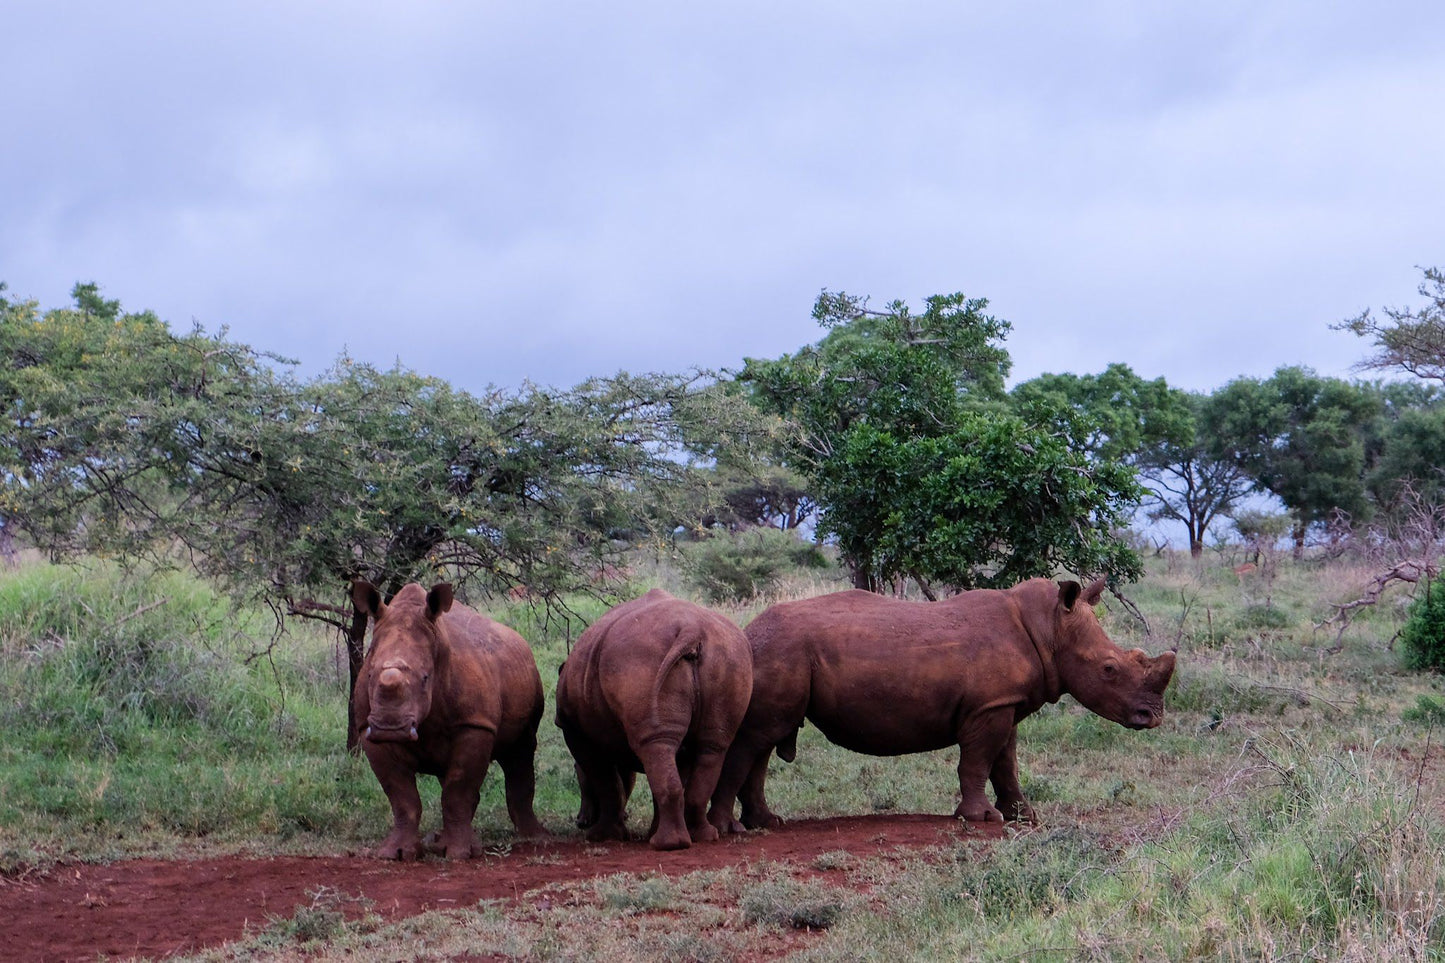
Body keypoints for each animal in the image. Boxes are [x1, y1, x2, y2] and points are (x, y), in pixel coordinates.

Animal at [708, 572, 1173, 827]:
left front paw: (1023, 816)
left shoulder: (1002, 703)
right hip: (780, 651)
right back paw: (730, 828)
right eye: (1109, 669)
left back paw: (766, 823)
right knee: (758, 738)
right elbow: (978, 761)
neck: (1048, 628)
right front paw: (982, 818)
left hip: (781, 655)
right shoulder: (988, 706)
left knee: (767, 738)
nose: (1152, 717)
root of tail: (748, 631)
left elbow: (1006, 763)